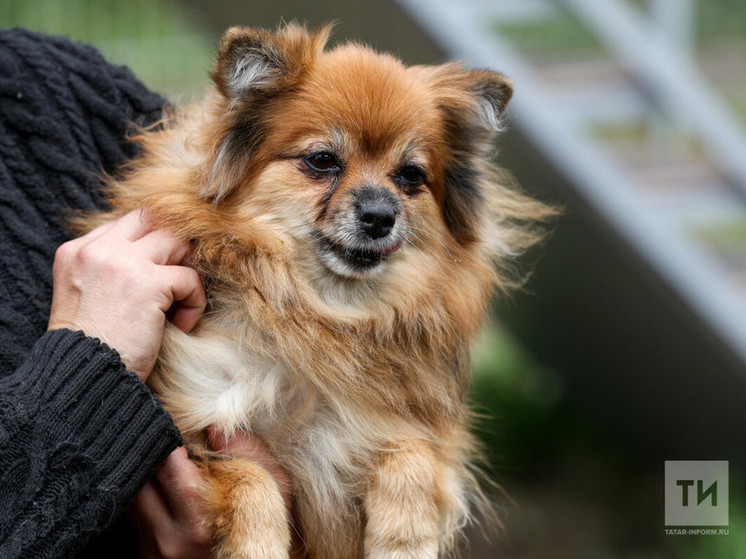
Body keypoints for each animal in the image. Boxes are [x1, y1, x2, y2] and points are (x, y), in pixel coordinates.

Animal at [81, 23, 548, 559]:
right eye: (322, 161)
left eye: (411, 175)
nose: (380, 215)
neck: (323, 311)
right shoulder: (194, 427)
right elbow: (252, 481)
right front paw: (257, 548)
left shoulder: (407, 429)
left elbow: (412, 454)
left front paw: (405, 538)